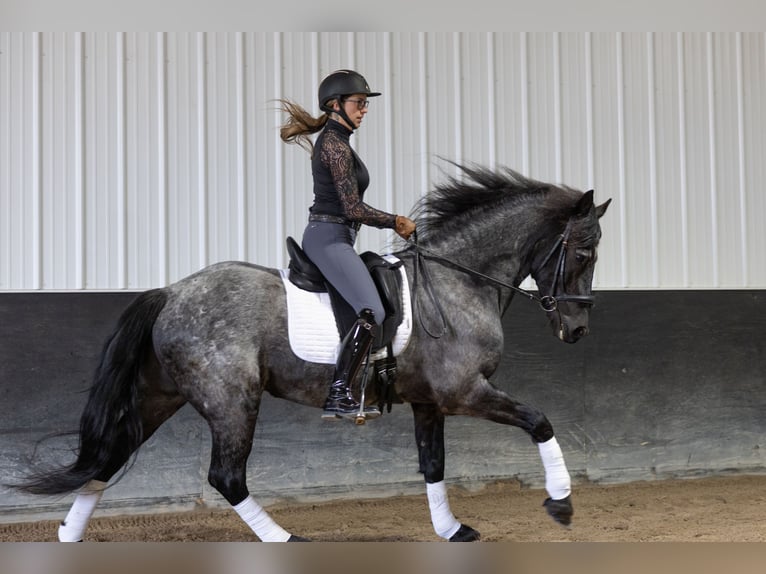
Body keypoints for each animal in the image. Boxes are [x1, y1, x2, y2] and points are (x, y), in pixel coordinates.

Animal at [12, 162, 611, 542]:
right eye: (583, 253)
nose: (579, 330)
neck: (457, 281)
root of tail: (173, 291)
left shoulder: (428, 402)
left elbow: (433, 464)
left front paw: (451, 530)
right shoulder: (464, 392)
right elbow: (539, 420)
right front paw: (561, 503)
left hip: (160, 394)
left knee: (110, 456)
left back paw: (68, 536)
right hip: (232, 401)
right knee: (226, 478)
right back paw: (285, 542)